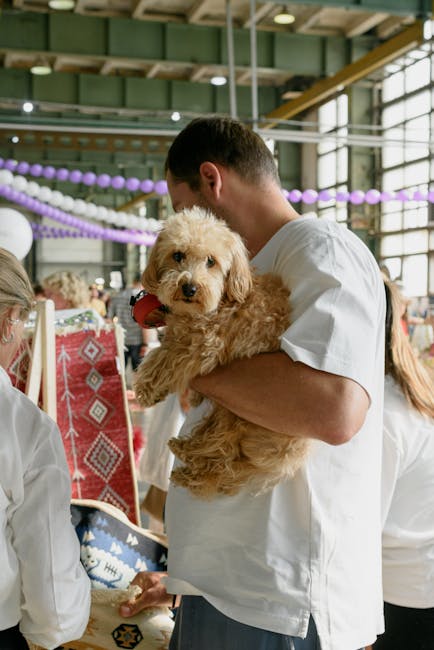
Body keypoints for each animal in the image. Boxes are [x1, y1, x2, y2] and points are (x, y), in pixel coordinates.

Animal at [135, 208, 308, 496]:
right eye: (177, 255)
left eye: (211, 261)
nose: (189, 288)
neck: (223, 300)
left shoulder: (202, 346)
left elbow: (164, 357)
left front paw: (147, 388)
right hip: (230, 415)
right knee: (219, 449)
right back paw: (186, 450)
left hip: (242, 417)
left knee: (224, 458)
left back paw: (191, 471)